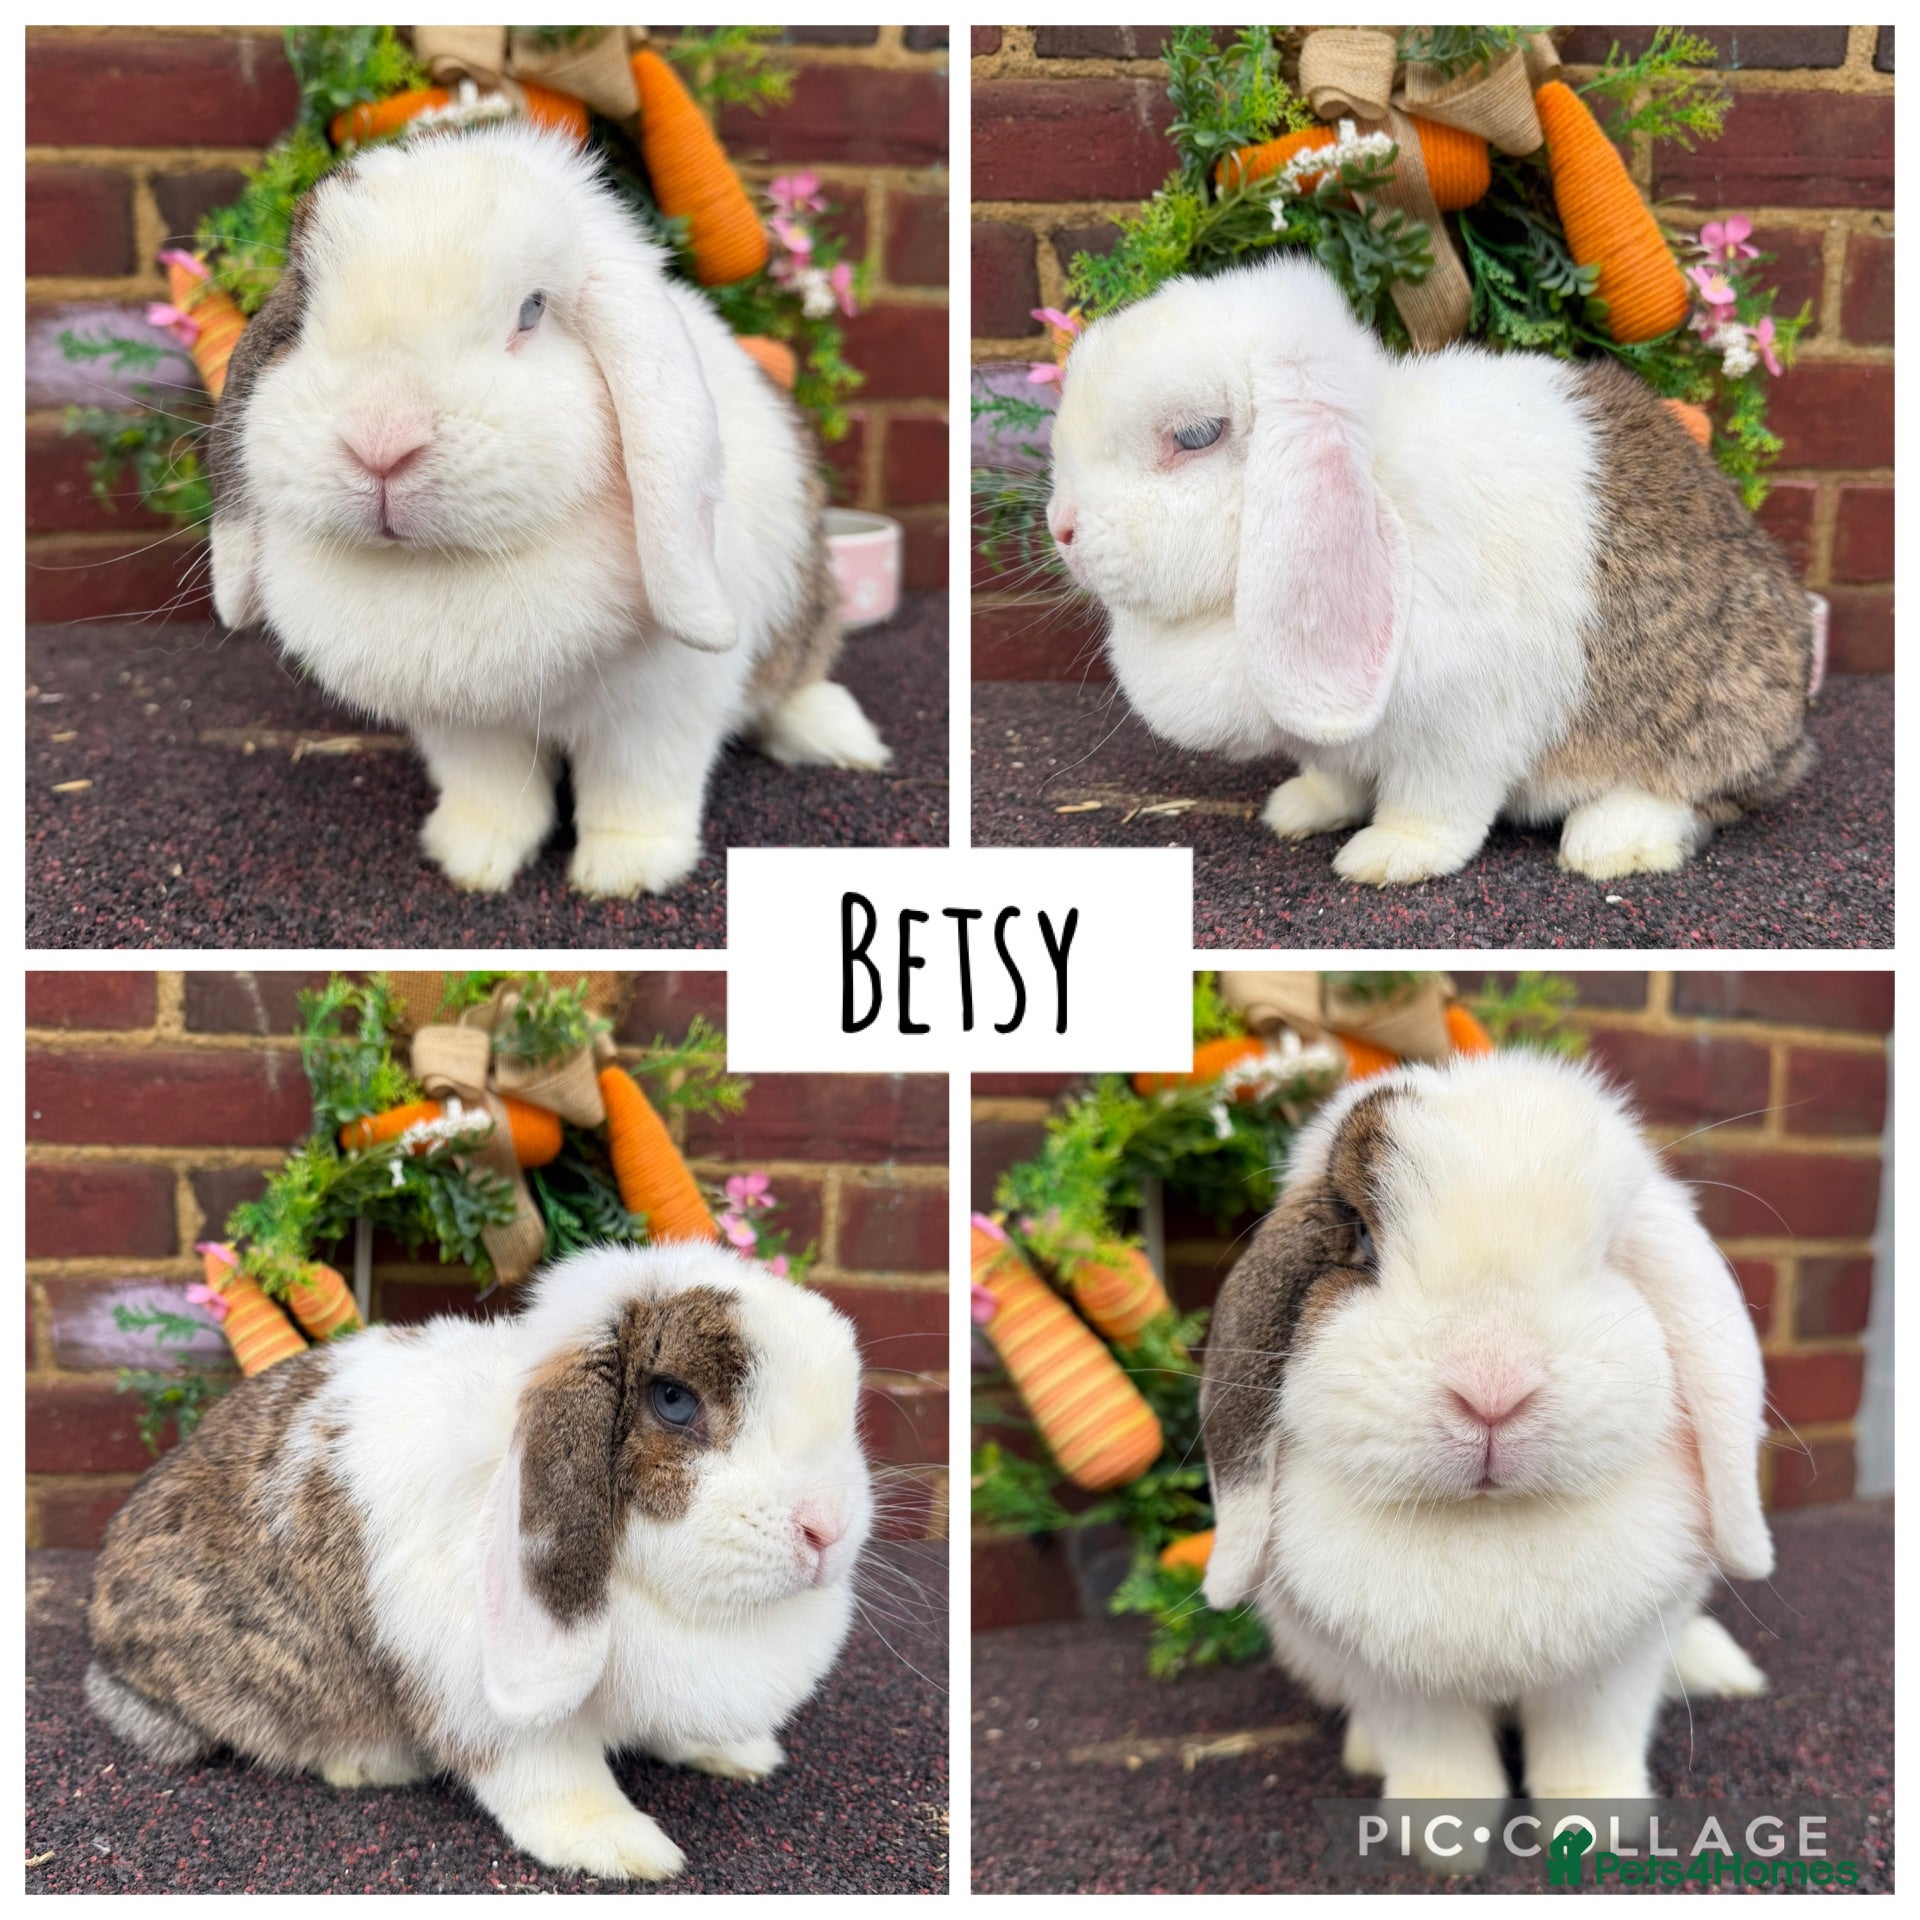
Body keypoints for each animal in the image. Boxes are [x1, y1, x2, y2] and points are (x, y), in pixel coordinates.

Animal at [85, 1242, 875, 1882]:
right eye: (674, 1400)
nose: (827, 1528)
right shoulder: (485, 1701)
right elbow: (550, 1776)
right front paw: (623, 1847)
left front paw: (744, 1755)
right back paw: (365, 1762)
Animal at [207, 121, 890, 900]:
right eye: (306, 307)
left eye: (532, 309)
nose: (380, 440)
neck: (446, 568)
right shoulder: (463, 724)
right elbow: (492, 792)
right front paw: (471, 859)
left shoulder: (659, 710)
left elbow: (639, 790)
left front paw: (626, 873)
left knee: (795, 678)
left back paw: (843, 738)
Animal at [1045, 256, 1813, 886]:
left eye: (1196, 436)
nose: (1063, 528)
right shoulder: (1338, 740)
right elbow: (1333, 776)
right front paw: (1300, 809)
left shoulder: (1461, 730)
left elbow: (1436, 806)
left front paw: (1388, 856)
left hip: (1716, 712)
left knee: (1697, 793)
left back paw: (1609, 841)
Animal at [1198, 1052, 1771, 1872]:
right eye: (1363, 1241)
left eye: (1606, 1257)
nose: (1493, 1387)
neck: (1488, 1521)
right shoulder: (1399, 1686)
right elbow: (1438, 1760)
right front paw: (1441, 1843)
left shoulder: (1610, 1673)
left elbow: (1589, 1749)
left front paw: (1594, 1828)